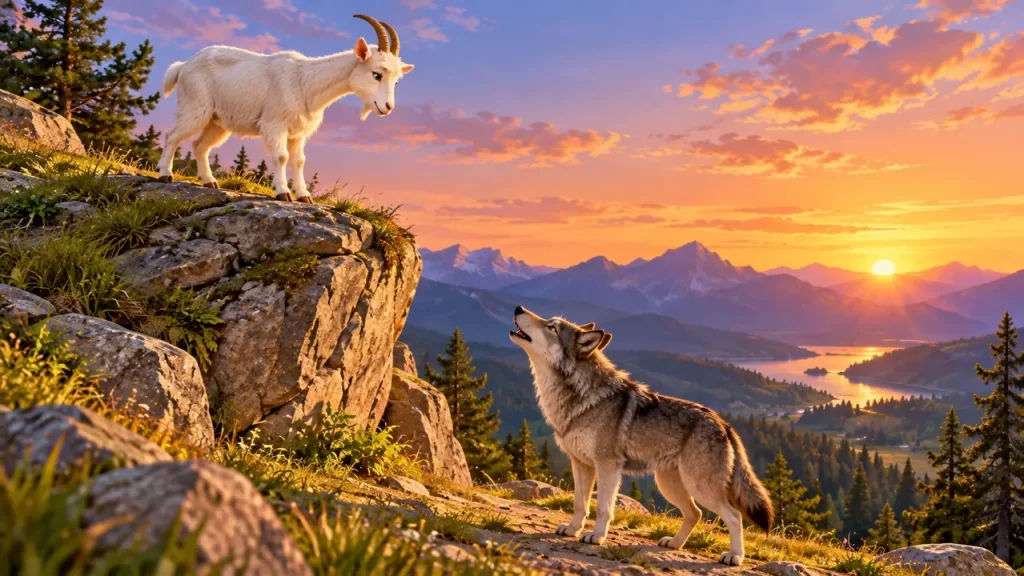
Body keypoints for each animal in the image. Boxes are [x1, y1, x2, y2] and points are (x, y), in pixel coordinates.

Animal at [156, 14, 414, 202]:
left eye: (397, 81)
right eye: (377, 74)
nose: (387, 107)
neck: (305, 82)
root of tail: (183, 66)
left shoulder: (298, 133)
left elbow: (299, 161)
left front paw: (304, 196)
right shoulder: (275, 125)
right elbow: (281, 157)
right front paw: (283, 193)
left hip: (217, 122)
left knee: (199, 146)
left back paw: (209, 182)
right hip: (195, 108)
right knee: (172, 136)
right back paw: (165, 175)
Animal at [508, 305, 773, 566]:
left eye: (552, 327)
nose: (518, 307)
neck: (581, 397)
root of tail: (725, 425)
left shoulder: (608, 466)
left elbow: (603, 508)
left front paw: (596, 537)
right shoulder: (581, 464)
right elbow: (579, 504)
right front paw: (573, 530)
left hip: (699, 487)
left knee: (734, 516)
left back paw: (734, 556)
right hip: (669, 485)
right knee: (695, 514)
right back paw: (674, 544)